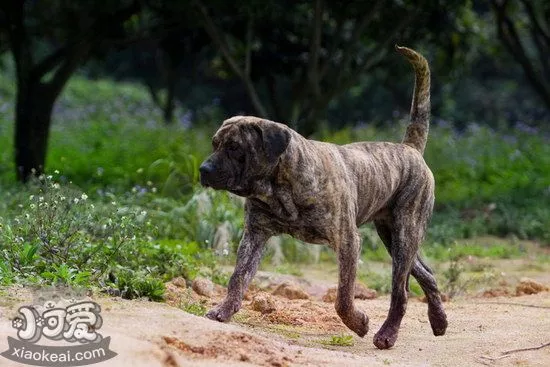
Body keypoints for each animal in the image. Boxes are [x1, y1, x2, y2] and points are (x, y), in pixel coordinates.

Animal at [201, 46, 450, 350]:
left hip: (405, 233)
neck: (279, 188)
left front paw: (359, 323)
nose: (204, 170)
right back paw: (439, 321)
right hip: (393, 237)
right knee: (426, 273)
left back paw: (387, 334)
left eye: (235, 147)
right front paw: (224, 310)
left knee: (400, 292)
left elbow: (343, 297)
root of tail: (409, 148)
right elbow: (238, 276)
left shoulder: (348, 240)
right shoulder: (255, 234)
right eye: (215, 144)